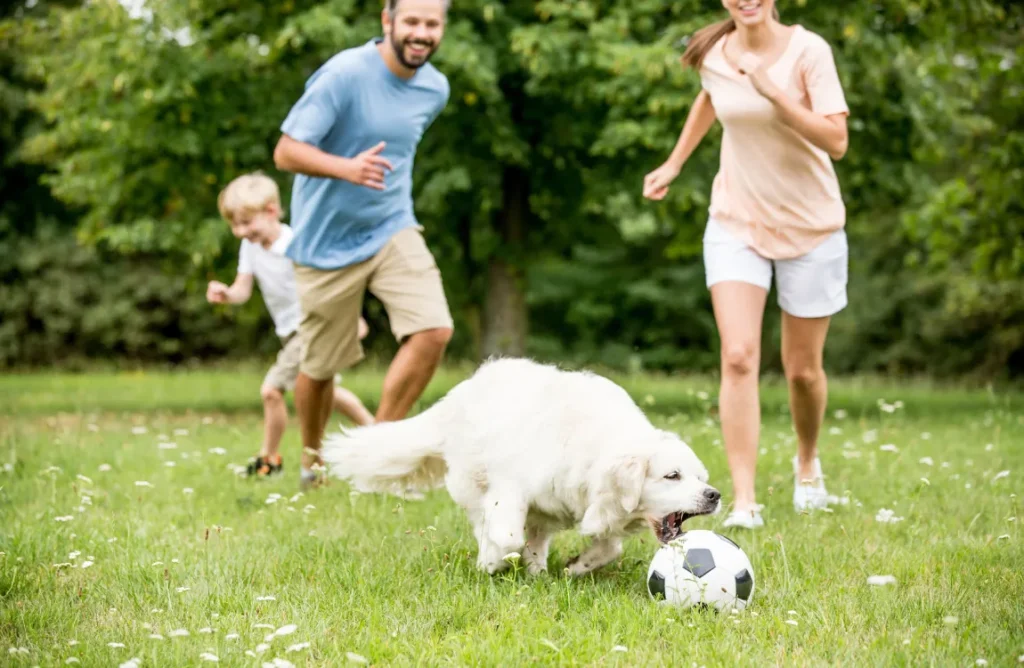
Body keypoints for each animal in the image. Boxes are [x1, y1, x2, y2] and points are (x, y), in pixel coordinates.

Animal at [321, 356, 720, 577]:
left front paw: (577, 567)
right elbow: (507, 535)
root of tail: (463, 390)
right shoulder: (510, 488)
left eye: (702, 477)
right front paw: (493, 561)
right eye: (672, 475)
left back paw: (538, 572)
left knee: (535, 539)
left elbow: (609, 548)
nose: (714, 495)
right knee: (487, 522)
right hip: (476, 482)